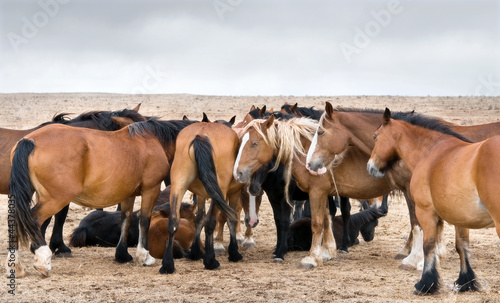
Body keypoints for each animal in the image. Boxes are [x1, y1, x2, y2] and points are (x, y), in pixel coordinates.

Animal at [9, 117, 195, 278]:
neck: (153, 140)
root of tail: (30, 141)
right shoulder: (151, 189)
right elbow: (144, 220)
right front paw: (144, 256)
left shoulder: (128, 194)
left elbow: (126, 220)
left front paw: (122, 254)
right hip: (55, 200)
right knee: (33, 220)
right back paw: (41, 263)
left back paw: (17, 267)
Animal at [160, 121, 244, 276]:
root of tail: (201, 135)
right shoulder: (233, 193)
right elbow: (231, 219)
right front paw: (234, 253)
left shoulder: (200, 195)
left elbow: (198, 219)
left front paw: (195, 252)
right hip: (220, 191)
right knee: (210, 222)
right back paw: (210, 261)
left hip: (178, 185)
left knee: (173, 221)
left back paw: (167, 265)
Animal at [234, 116, 394, 268]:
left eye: (255, 143)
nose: (253, 187)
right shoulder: (274, 197)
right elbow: (278, 222)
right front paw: (277, 250)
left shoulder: (287, 199)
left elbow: (285, 222)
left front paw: (281, 253)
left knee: (346, 213)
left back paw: (343, 246)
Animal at [368, 108, 500, 296]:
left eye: (375, 137)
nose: (370, 167)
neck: (431, 151)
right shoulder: (459, 217)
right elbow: (462, 247)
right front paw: (465, 282)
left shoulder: (426, 212)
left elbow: (428, 246)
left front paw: (425, 284)